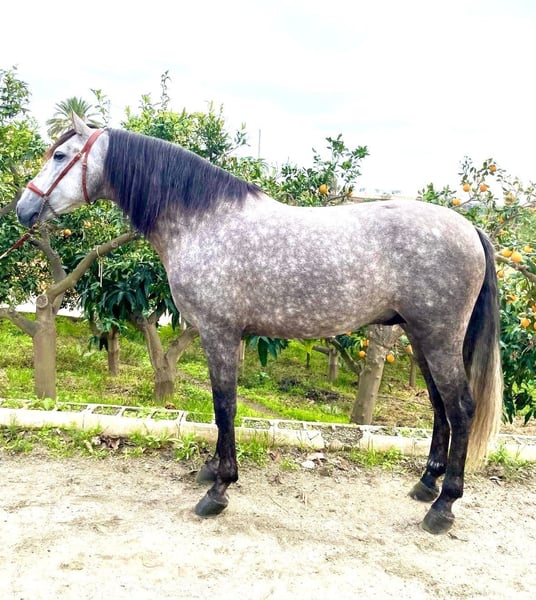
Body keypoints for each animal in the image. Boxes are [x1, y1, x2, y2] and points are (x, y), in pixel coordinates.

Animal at [16, 114, 503, 534]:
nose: (23, 210)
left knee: (461, 408)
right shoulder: (224, 337)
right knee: (440, 406)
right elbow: (222, 408)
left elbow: (224, 406)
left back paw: (443, 506)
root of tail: (470, 228)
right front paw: (213, 469)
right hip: (420, 336)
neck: (202, 222)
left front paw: (219, 488)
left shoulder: (218, 334)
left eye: (60, 156)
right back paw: (425, 485)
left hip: (438, 337)